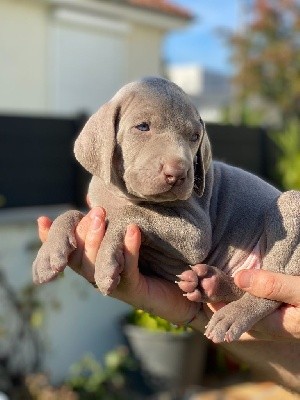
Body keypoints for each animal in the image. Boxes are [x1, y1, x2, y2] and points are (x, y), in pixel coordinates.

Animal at [32, 77, 300, 344]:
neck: (125, 196)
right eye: (142, 127)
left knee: (269, 289)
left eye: (194, 136)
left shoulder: (196, 234)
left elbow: (132, 215)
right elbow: (75, 214)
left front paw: (106, 259)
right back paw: (211, 284)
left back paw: (232, 315)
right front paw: (49, 254)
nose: (178, 173)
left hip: (290, 205)